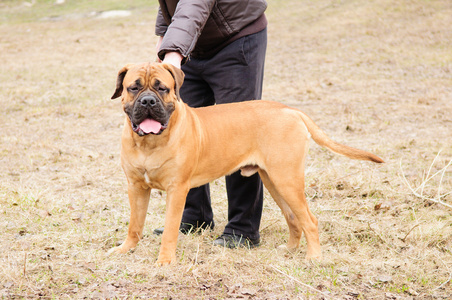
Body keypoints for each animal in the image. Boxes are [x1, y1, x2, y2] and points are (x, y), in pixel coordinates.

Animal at [107, 62, 384, 264]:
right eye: (133, 88)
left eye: (162, 88)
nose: (148, 101)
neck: (148, 143)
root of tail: (291, 110)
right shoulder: (136, 187)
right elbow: (134, 224)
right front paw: (126, 249)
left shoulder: (177, 190)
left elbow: (170, 230)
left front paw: (165, 261)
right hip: (274, 181)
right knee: (293, 218)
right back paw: (290, 250)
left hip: (287, 179)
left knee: (310, 220)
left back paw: (313, 257)